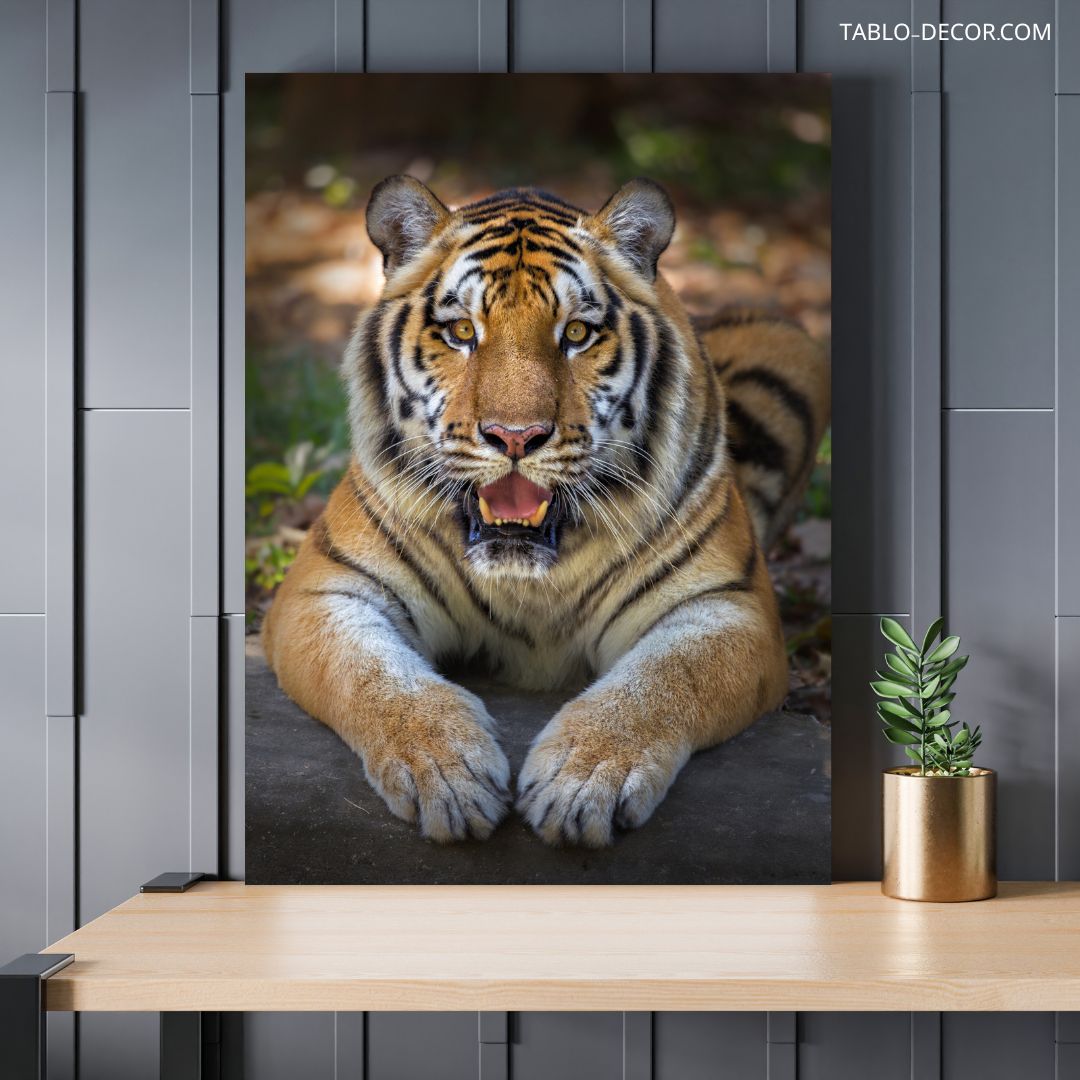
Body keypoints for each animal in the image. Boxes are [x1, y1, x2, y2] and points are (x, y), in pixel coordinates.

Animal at [261, 175, 829, 848]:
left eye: (577, 334)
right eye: (461, 332)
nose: (515, 436)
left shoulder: (728, 606)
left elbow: (663, 682)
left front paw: (582, 782)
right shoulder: (325, 591)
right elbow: (376, 678)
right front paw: (448, 774)